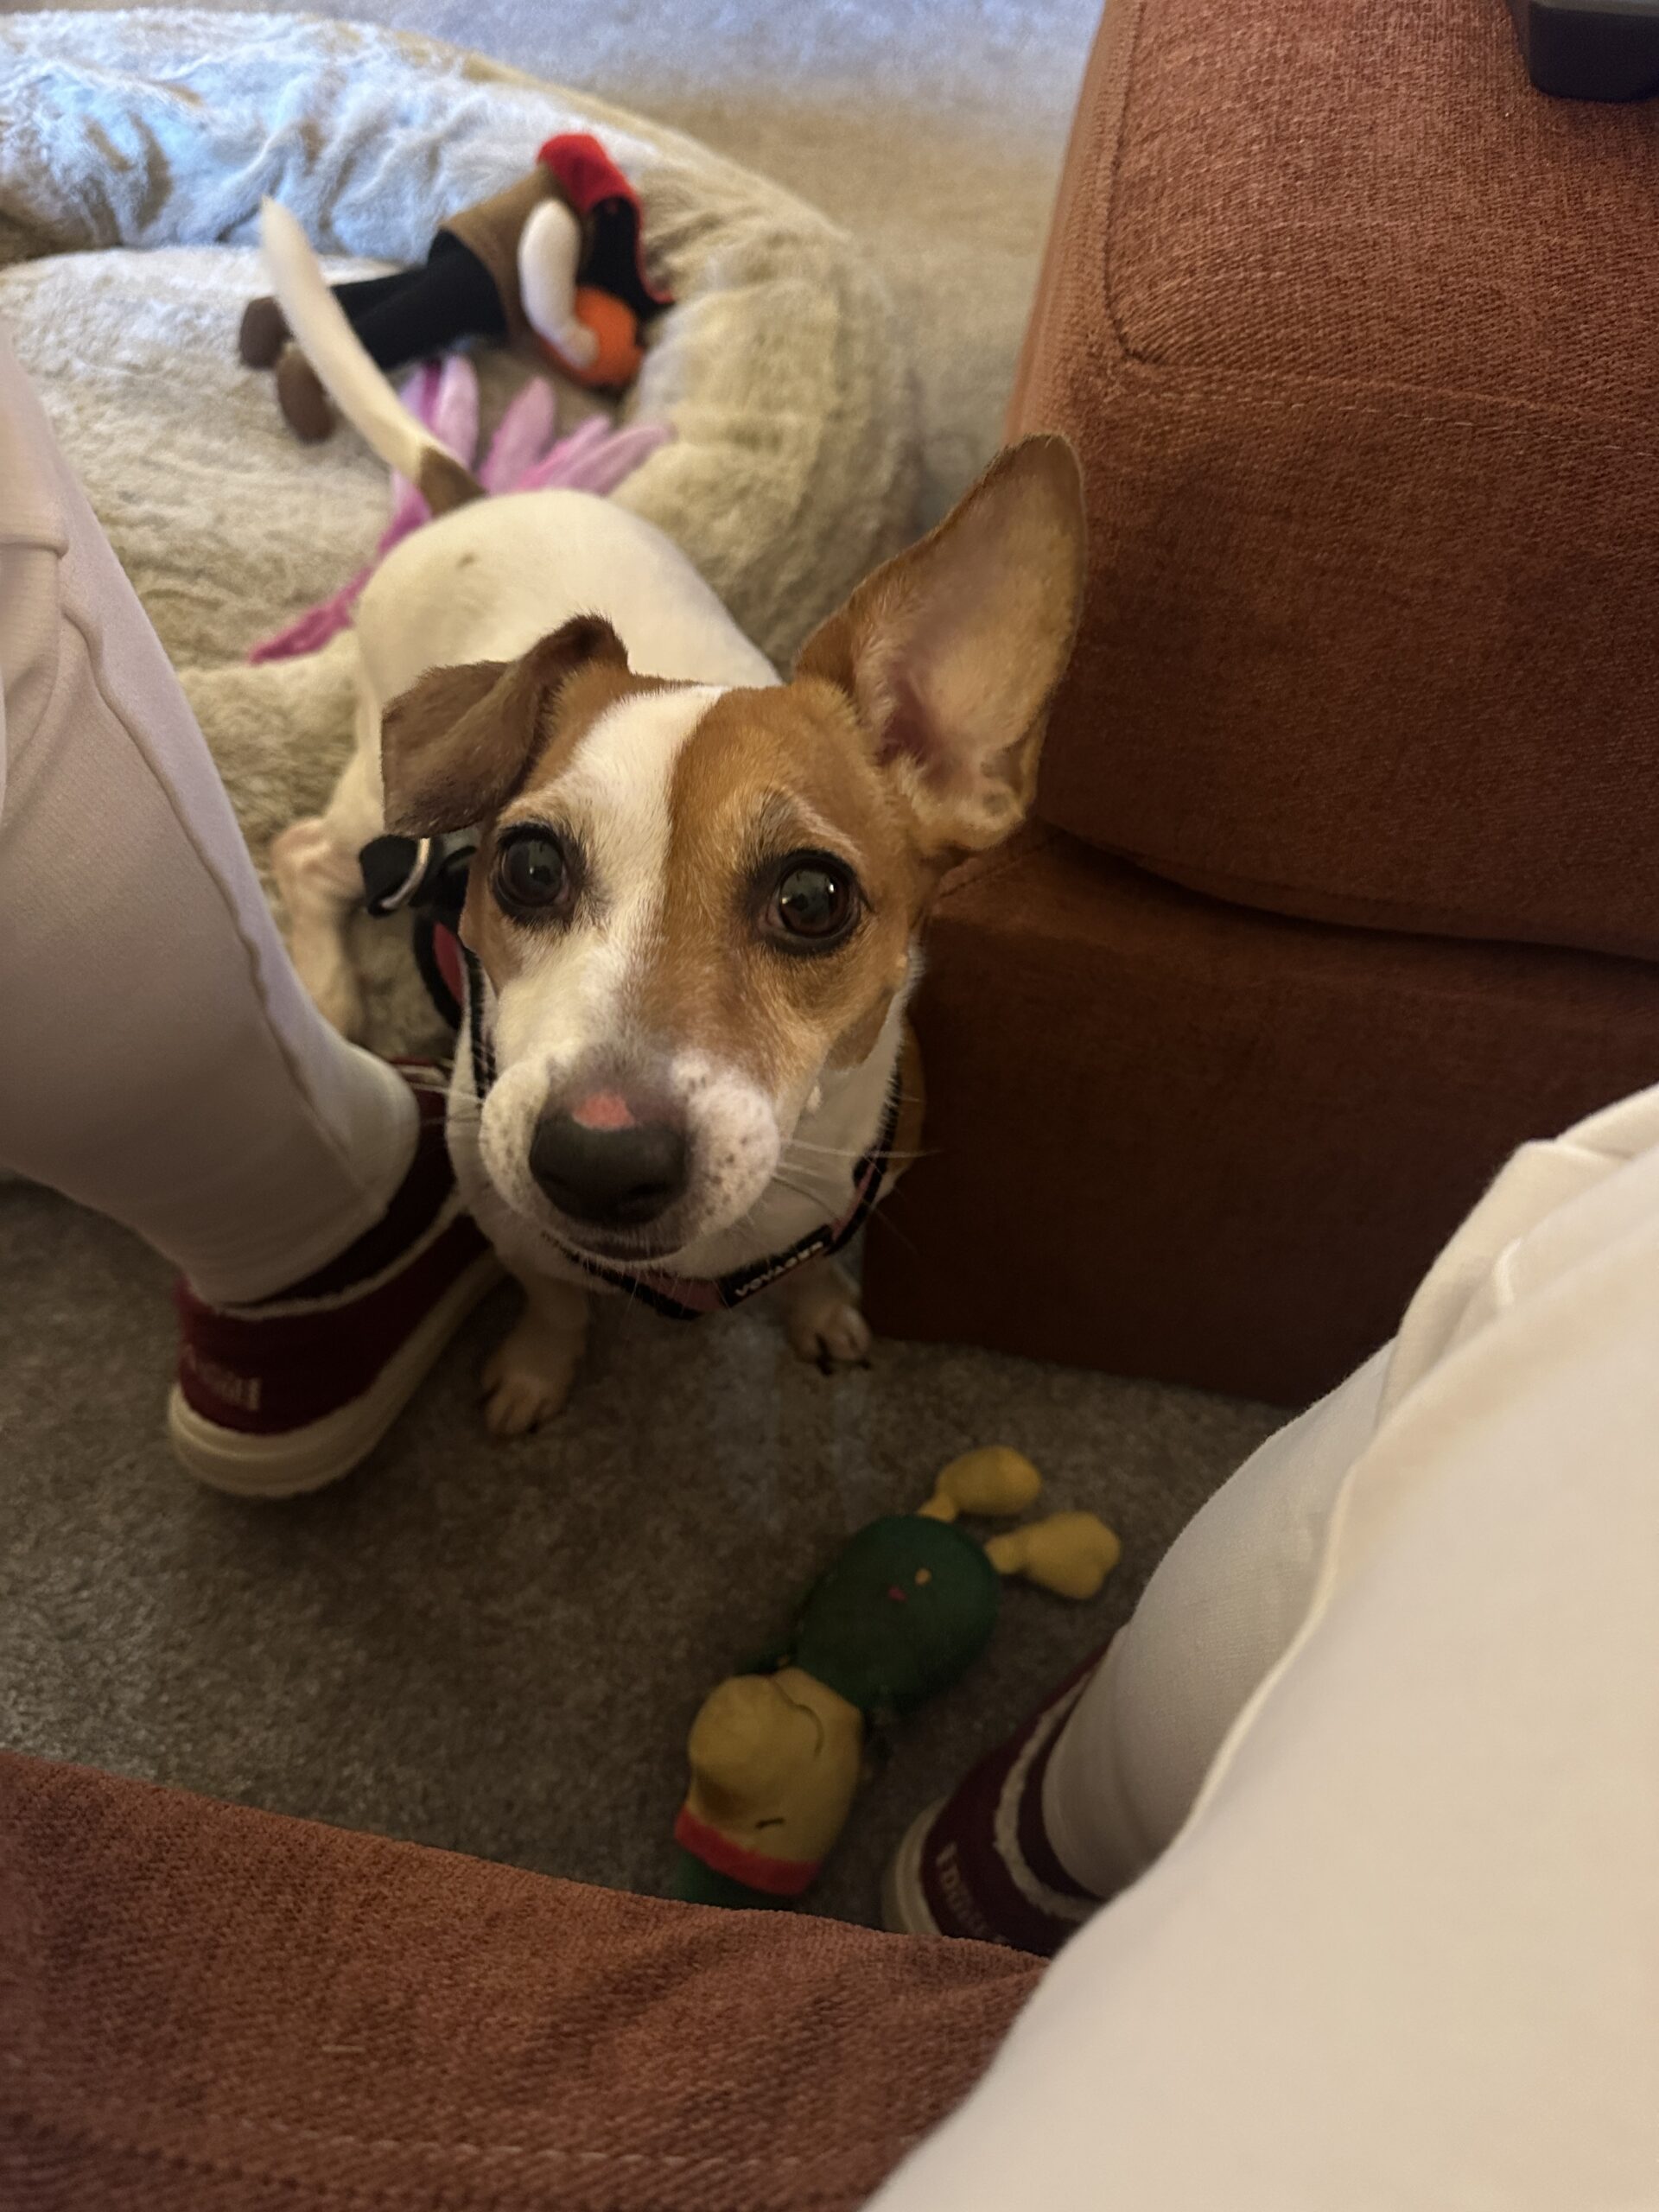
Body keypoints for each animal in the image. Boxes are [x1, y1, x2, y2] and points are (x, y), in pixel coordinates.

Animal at [260, 199, 1085, 1436]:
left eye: (814, 897)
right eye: (528, 869)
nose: (598, 1163)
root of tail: (474, 497)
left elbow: (815, 1274)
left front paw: (820, 1313)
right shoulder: (507, 1216)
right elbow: (554, 1299)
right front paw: (538, 1366)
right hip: (380, 792)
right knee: (308, 852)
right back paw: (324, 984)